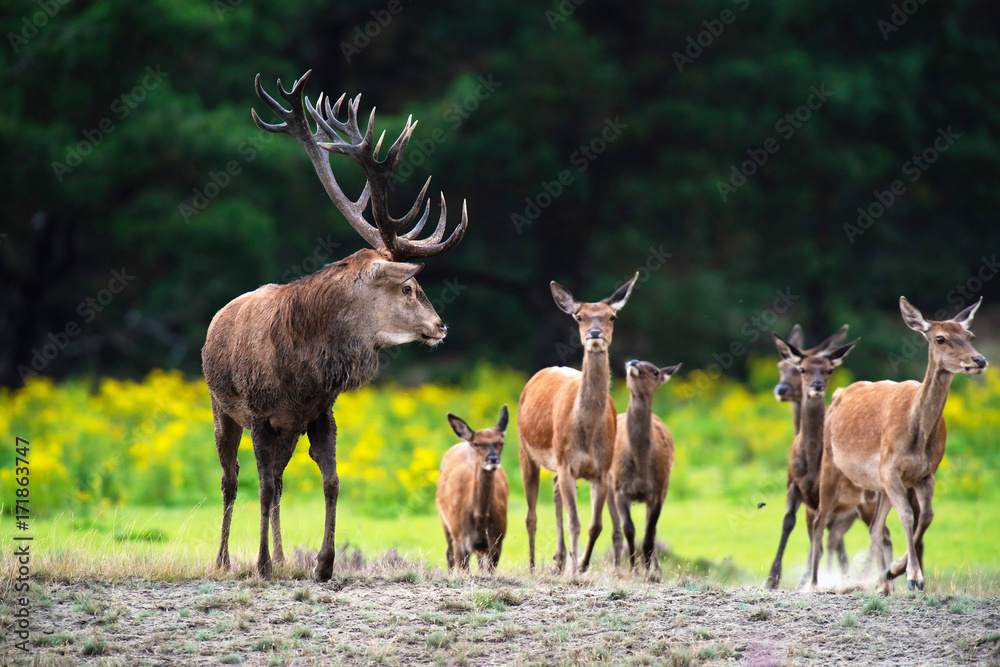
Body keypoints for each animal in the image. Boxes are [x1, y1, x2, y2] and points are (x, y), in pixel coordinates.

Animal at [201, 71, 468, 581]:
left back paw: (283, 555)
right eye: (409, 287)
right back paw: (226, 559)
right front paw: (261, 565)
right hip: (221, 407)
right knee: (233, 479)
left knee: (279, 480)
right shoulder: (260, 414)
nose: (442, 326)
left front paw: (322, 564)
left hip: (286, 430)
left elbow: (331, 482)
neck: (302, 373)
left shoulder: (319, 413)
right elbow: (262, 487)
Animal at [436, 406, 510, 573]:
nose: (493, 459)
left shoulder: (497, 540)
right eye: (476, 443)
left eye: (501, 442)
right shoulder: (459, 538)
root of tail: (463, 443)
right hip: (445, 521)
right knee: (448, 552)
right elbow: (463, 569)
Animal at [518, 275, 637, 576]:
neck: (585, 432)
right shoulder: (566, 463)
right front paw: (574, 569)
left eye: (612, 316)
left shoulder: (601, 470)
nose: (594, 333)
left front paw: (580, 564)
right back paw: (534, 566)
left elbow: (596, 525)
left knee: (554, 490)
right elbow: (575, 522)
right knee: (531, 515)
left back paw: (559, 560)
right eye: (579, 316)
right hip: (525, 448)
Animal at [611, 359, 680, 577]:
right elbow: (629, 529)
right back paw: (618, 567)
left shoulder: (658, 490)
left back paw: (656, 568)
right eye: (633, 360)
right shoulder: (620, 489)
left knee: (653, 531)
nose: (632, 362)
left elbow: (649, 535)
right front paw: (634, 569)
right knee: (616, 529)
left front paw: (651, 572)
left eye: (655, 371)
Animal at [808, 297, 986, 593]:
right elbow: (907, 515)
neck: (917, 437)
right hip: (831, 463)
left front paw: (897, 570)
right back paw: (812, 583)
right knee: (819, 519)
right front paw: (914, 576)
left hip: (878, 485)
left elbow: (926, 516)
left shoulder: (926, 474)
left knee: (875, 527)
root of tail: (838, 393)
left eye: (970, 335)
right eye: (940, 338)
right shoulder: (890, 468)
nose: (980, 360)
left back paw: (884, 584)